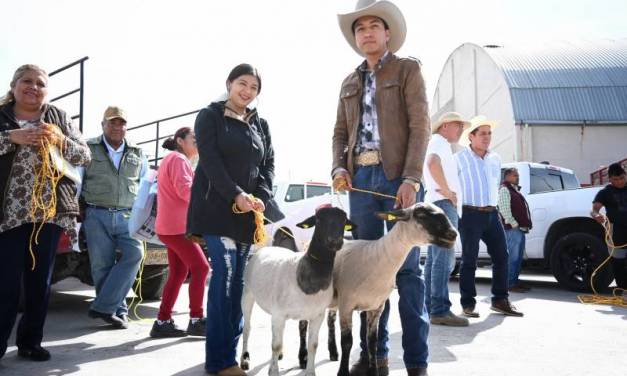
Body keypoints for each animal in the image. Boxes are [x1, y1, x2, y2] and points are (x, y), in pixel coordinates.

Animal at [242, 207, 354, 374]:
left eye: (344, 220)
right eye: (319, 219)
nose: (335, 241)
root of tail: (268, 246)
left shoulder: (317, 315)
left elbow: (313, 345)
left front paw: (310, 372)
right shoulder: (279, 314)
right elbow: (275, 345)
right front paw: (273, 371)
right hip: (247, 293)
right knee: (247, 328)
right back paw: (244, 360)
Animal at [332, 204, 458, 376]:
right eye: (421, 215)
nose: (453, 234)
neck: (376, 257)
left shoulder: (377, 307)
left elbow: (372, 342)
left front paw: (374, 371)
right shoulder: (346, 305)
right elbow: (347, 342)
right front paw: (343, 372)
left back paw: (332, 352)